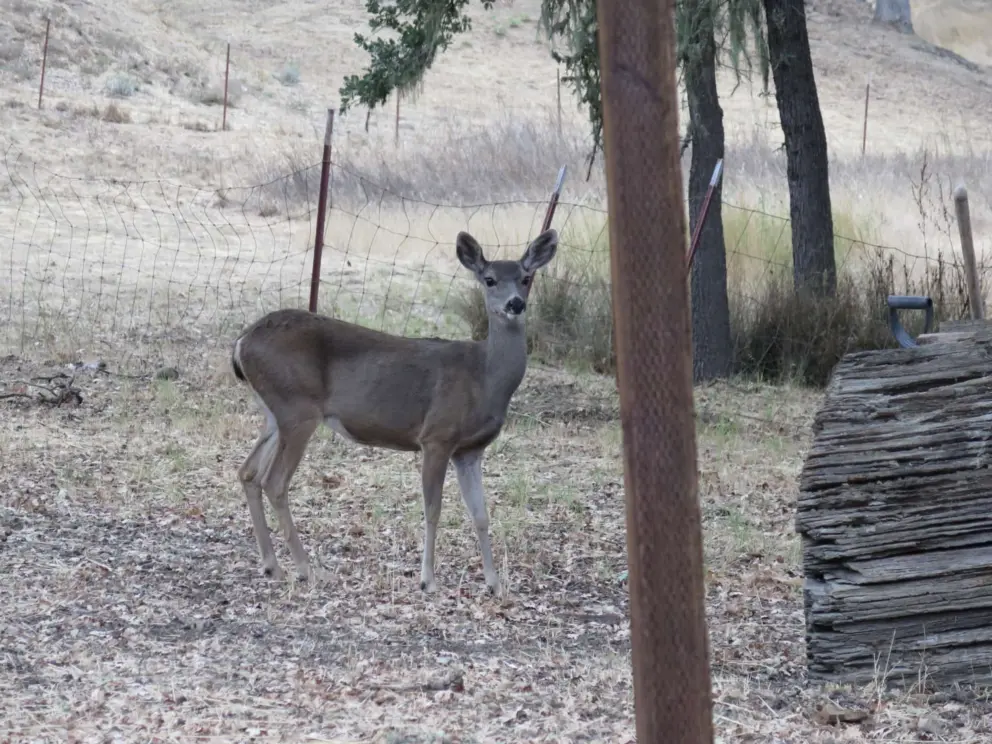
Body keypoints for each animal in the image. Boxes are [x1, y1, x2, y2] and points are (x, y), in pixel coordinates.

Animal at [230, 227, 559, 596]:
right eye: (489, 280)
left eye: (526, 278)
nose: (515, 304)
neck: (484, 376)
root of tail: (241, 342)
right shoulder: (437, 436)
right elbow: (433, 509)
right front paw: (428, 579)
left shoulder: (470, 450)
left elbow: (481, 514)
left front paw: (493, 583)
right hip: (297, 408)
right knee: (274, 481)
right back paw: (306, 569)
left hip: (275, 413)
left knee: (248, 472)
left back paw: (272, 565)